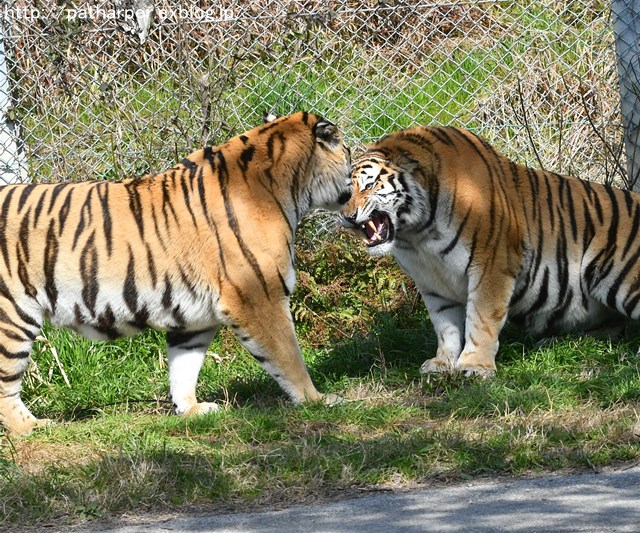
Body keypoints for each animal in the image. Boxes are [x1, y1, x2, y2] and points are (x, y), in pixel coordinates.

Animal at [0, 111, 352, 432]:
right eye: (348, 153)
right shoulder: (259, 295)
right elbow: (288, 355)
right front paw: (317, 400)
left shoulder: (194, 319)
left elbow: (185, 367)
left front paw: (191, 409)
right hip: (12, 317)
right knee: (6, 385)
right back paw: (32, 427)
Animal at [342, 124, 640, 374]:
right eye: (344, 193)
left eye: (369, 185)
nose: (346, 217)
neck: (417, 235)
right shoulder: (431, 282)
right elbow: (444, 325)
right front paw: (442, 363)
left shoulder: (491, 265)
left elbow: (481, 319)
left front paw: (474, 366)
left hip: (622, 280)